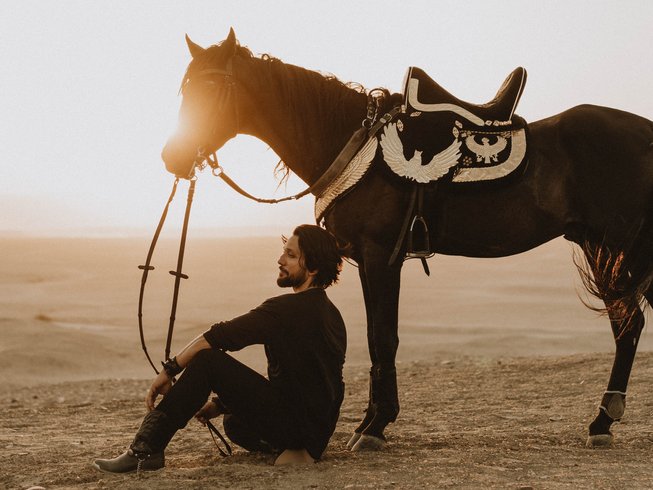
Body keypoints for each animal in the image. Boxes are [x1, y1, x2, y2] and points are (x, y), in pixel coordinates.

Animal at [160, 29, 652, 452]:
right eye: (184, 90)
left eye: (211, 88)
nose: (172, 157)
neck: (352, 145)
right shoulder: (369, 260)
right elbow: (377, 337)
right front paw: (372, 421)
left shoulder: (381, 256)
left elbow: (384, 337)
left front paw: (374, 427)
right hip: (603, 248)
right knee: (627, 325)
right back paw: (603, 421)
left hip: (614, 247)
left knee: (628, 326)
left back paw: (602, 421)